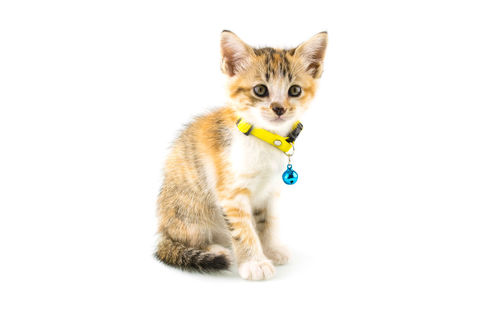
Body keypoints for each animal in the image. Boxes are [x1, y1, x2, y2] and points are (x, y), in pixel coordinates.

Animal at [156, 31, 328, 280]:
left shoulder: (269, 191)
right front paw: (254, 262)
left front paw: (271, 249)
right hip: (189, 210)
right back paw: (215, 249)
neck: (266, 138)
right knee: (183, 239)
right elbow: (243, 229)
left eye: (294, 90)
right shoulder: (231, 192)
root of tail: (163, 230)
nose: (279, 108)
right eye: (260, 90)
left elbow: (268, 222)